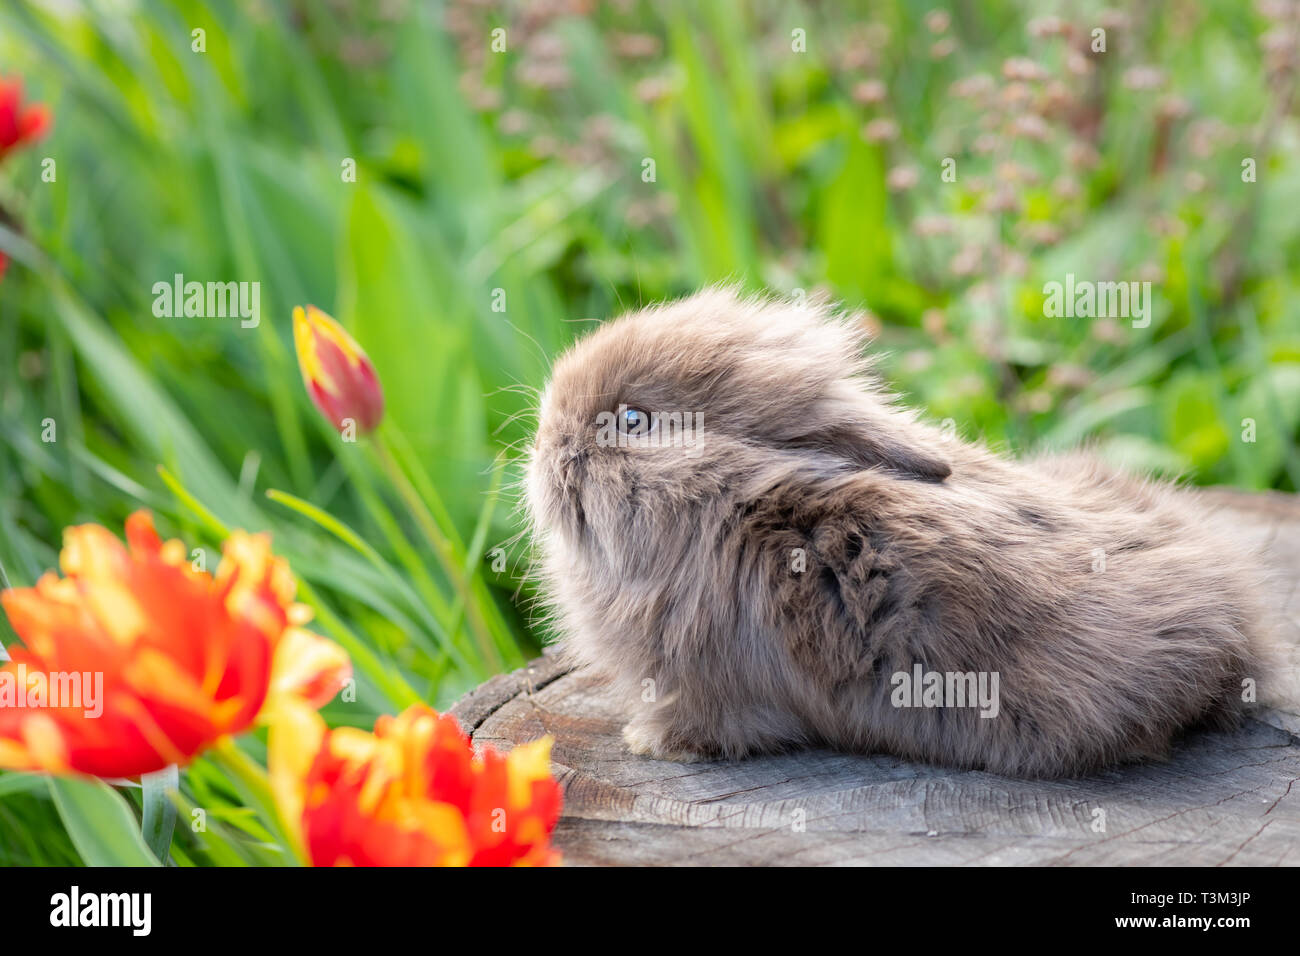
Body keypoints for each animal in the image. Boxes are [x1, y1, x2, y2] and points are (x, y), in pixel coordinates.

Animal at [524, 286, 1291, 778]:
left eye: (632, 421)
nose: (544, 443)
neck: (731, 501)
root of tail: (1235, 639)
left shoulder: (705, 688)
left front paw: (650, 745)